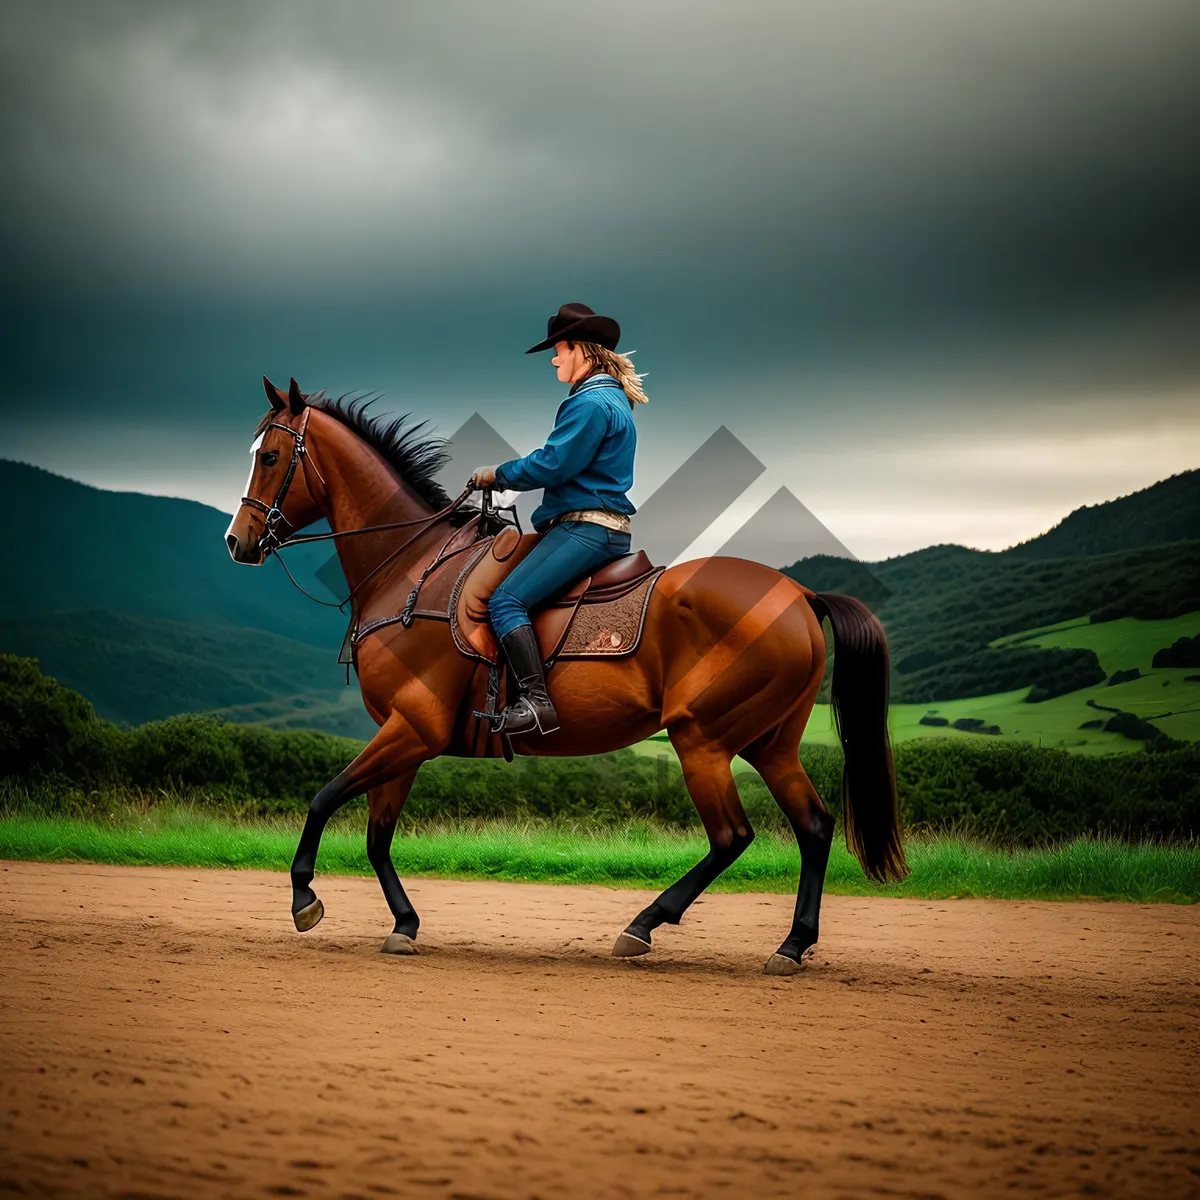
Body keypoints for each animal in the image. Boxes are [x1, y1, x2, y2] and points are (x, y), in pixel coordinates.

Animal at [225, 374, 902, 974]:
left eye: (272, 455)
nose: (237, 541)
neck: (411, 569)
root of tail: (797, 594)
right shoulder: (404, 735)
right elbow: (377, 834)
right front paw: (404, 925)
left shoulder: (411, 728)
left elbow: (324, 797)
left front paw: (304, 898)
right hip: (768, 742)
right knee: (813, 827)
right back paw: (791, 944)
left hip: (702, 739)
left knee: (732, 836)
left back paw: (643, 927)